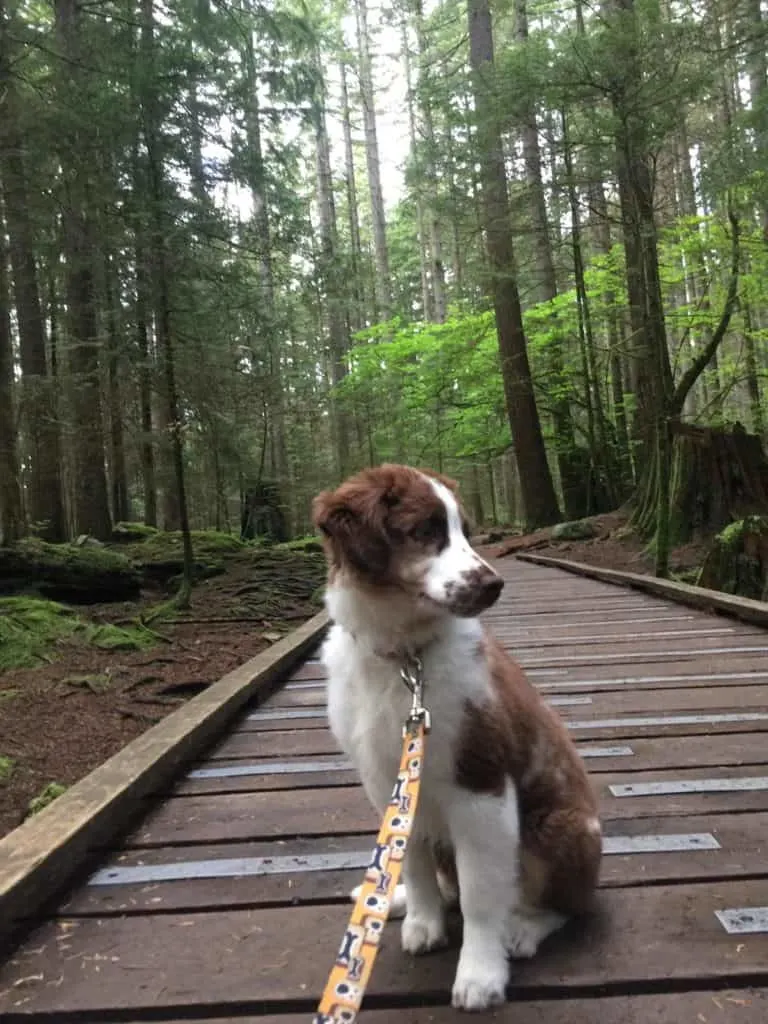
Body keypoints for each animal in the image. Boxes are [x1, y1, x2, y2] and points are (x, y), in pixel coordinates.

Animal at [313, 468, 602, 1011]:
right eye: (425, 530)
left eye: (465, 531)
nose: (494, 584)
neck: (406, 659)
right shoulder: (386, 779)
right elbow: (410, 860)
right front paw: (423, 921)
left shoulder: (480, 784)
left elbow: (480, 895)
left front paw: (480, 974)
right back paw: (395, 901)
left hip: (563, 827)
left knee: (567, 905)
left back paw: (524, 929)